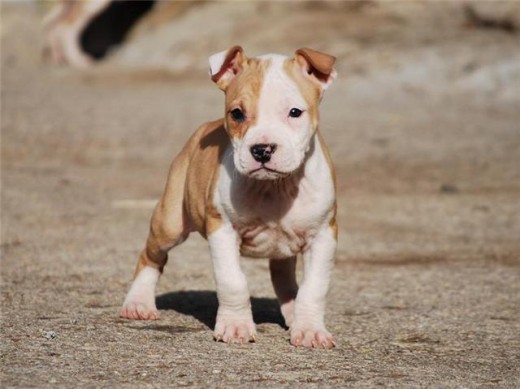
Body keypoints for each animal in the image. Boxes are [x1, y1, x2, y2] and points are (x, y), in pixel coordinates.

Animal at [120, 46, 340, 348]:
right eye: (237, 113)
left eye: (295, 112)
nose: (262, 149)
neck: (274, 187)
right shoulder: (222, 229)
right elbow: (233, 281)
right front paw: (236, 326)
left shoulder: (323, 235)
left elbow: (314, 288)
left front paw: (309, 330)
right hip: (170, 223)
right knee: (151, 256)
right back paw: (138, 303)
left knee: (283, 278)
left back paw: (293, 314)